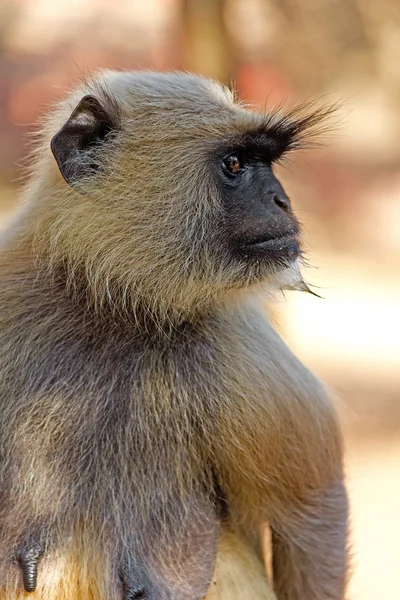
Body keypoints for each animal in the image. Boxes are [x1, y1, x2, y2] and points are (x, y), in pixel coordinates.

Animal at [0, 71, 346, 600]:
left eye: (266, 164)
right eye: (234, 164)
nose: (283, 200)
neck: (116, 310)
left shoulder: (235, 341)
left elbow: (313, 505)